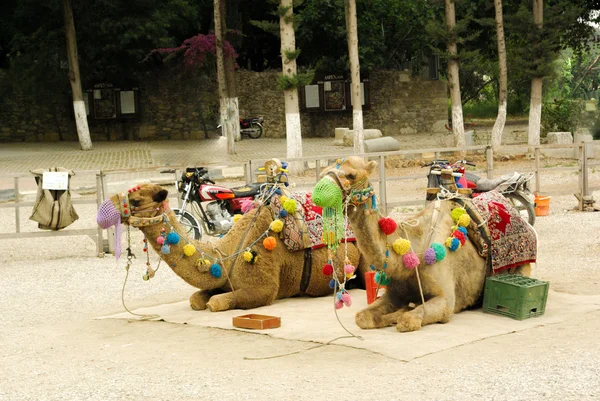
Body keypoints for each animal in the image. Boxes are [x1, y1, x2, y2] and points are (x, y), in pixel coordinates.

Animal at [97, 183, 360, 310]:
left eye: (135, 200)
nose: (103, 211)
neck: (228, 254)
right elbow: (196, 299)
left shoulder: (264, 289)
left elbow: (215, 304)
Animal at [312, 156, 532, 332]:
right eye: (322, 173)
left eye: (350, 174)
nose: (318, 194)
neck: (415, 249)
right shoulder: (394, 293)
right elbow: (362, 317)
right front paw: (394, 313)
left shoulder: (446, 300)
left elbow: (407, 320)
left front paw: (400, 313)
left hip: (522, 266)